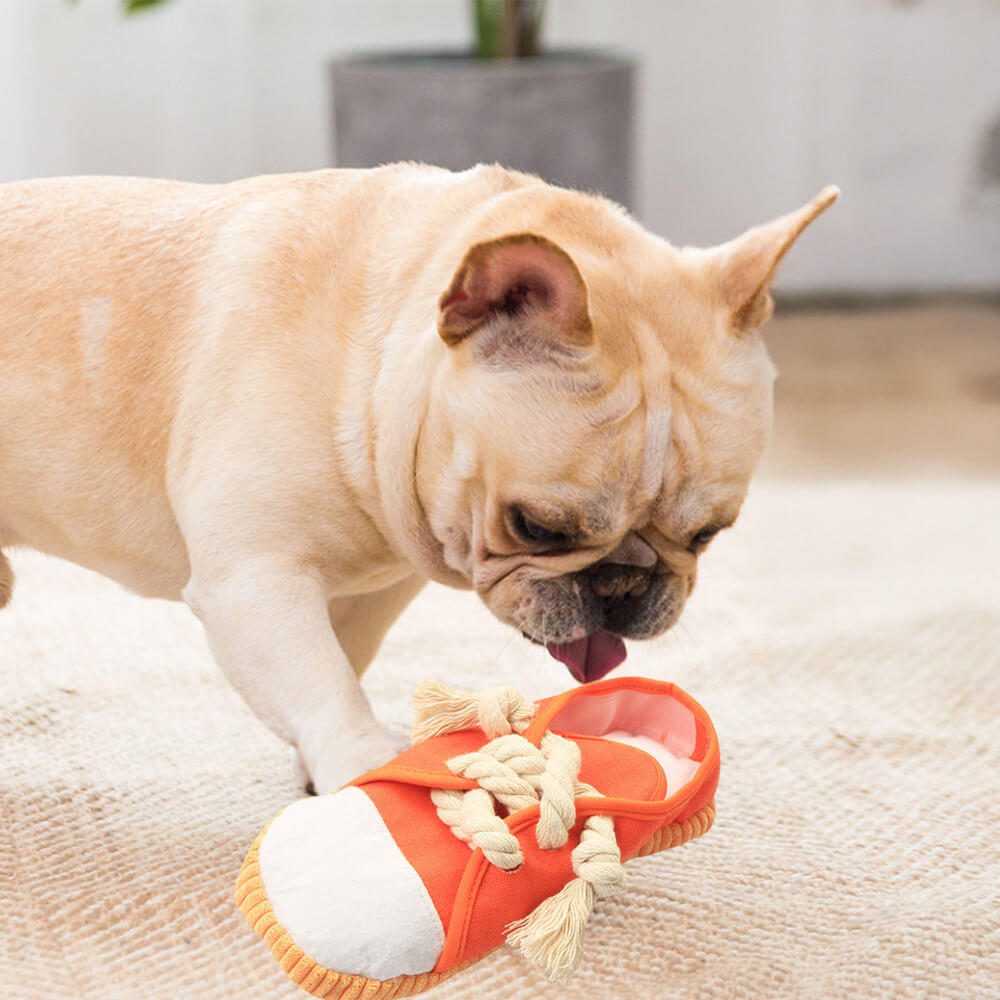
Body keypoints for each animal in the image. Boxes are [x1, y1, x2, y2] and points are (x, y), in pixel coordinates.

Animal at [0, 162, 836, 788]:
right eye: (536, 526)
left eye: (707, 536)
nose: (624, 583)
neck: (367, 353)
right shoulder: (254, 580)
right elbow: (319, 680)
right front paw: (361, 770)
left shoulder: (376, 588)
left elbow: (342, 657)